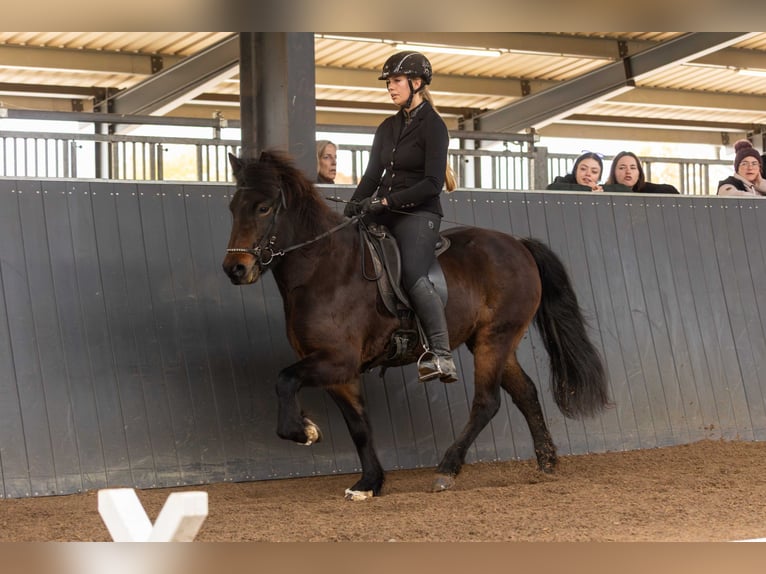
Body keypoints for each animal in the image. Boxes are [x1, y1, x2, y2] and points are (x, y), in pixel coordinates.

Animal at [222, 150, 610, 500]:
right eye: (232, 208)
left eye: (263, 208)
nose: (235, 269)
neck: (323, 270)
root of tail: (518, 244)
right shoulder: (338, 372)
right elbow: (358, 425)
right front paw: (369, 483)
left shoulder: (337, 360)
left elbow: (284, 379)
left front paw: (304, 431)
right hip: (494, 340)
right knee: (525, 392)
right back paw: (547, 463)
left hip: (494, 339)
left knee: (487, 402)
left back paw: (447, 470)